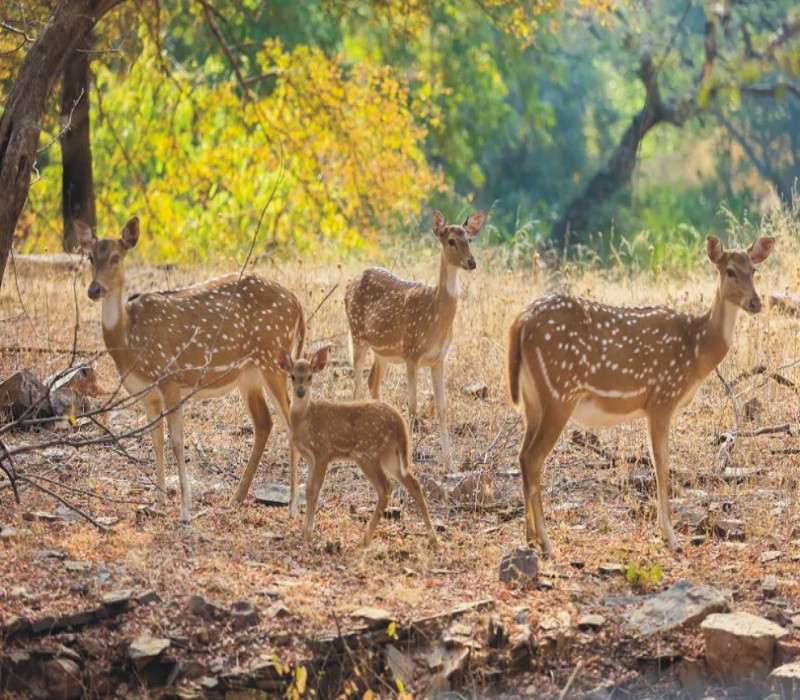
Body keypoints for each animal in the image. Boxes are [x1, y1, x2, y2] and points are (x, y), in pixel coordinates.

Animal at [76, 216, 304, 524]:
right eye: (90, 257)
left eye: (115, 257)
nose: (94, 289)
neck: (130, 341)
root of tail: (296, 302)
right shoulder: (146, 394)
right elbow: (156, 441)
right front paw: (158, 504)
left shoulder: (170, 379)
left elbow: (176, 441)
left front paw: (185, 511)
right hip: (249, 374)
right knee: (264, 423)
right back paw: (236, 498)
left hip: (273, 358)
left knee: (290, 423)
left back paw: (292, 507)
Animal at [276, 346, 438, 548]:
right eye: (292, 376)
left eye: (310, 376)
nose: (300, 392)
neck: (304, 418)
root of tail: (399, 422)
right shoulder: (310, 458)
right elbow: (307, 489)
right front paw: (305, 531)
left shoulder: (323, 451)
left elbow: (314, 489)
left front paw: (307, 534)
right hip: (390, 455)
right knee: (413, 483)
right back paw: (433, 537)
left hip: (367, 452)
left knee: (385, 487)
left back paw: (365, 539)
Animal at [346, 209, 488, 470]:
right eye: (451, 241)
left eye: (470, 239)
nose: (471, 262)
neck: (434, 319)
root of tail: (349, 283)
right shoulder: (411, 354)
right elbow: (412, 407)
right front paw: (410, 462)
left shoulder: (439, 359)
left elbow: (442, 408)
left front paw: (451, 465)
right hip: (357, 333)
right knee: (358, 383)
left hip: (383, 351)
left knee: (373, 382)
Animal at [506, 235, 776, 552]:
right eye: (730, 271)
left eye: (754, 271)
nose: (755, 303)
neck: (697, 350)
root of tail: (520, 322)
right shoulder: (662, 397)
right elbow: (662, 467)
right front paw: (670, 537)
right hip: (559, 392)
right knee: (534, 458)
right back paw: (546, 543)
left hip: (532, 400)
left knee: (523, 456)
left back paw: (530, 538)